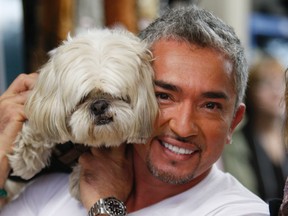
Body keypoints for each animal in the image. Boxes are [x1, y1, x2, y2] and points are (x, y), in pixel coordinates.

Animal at [8, 27, 158, 200]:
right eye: (83, 98)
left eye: (117, 95)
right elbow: (40, 128)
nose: (99, 106)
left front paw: (77, 179)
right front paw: (25, 158)